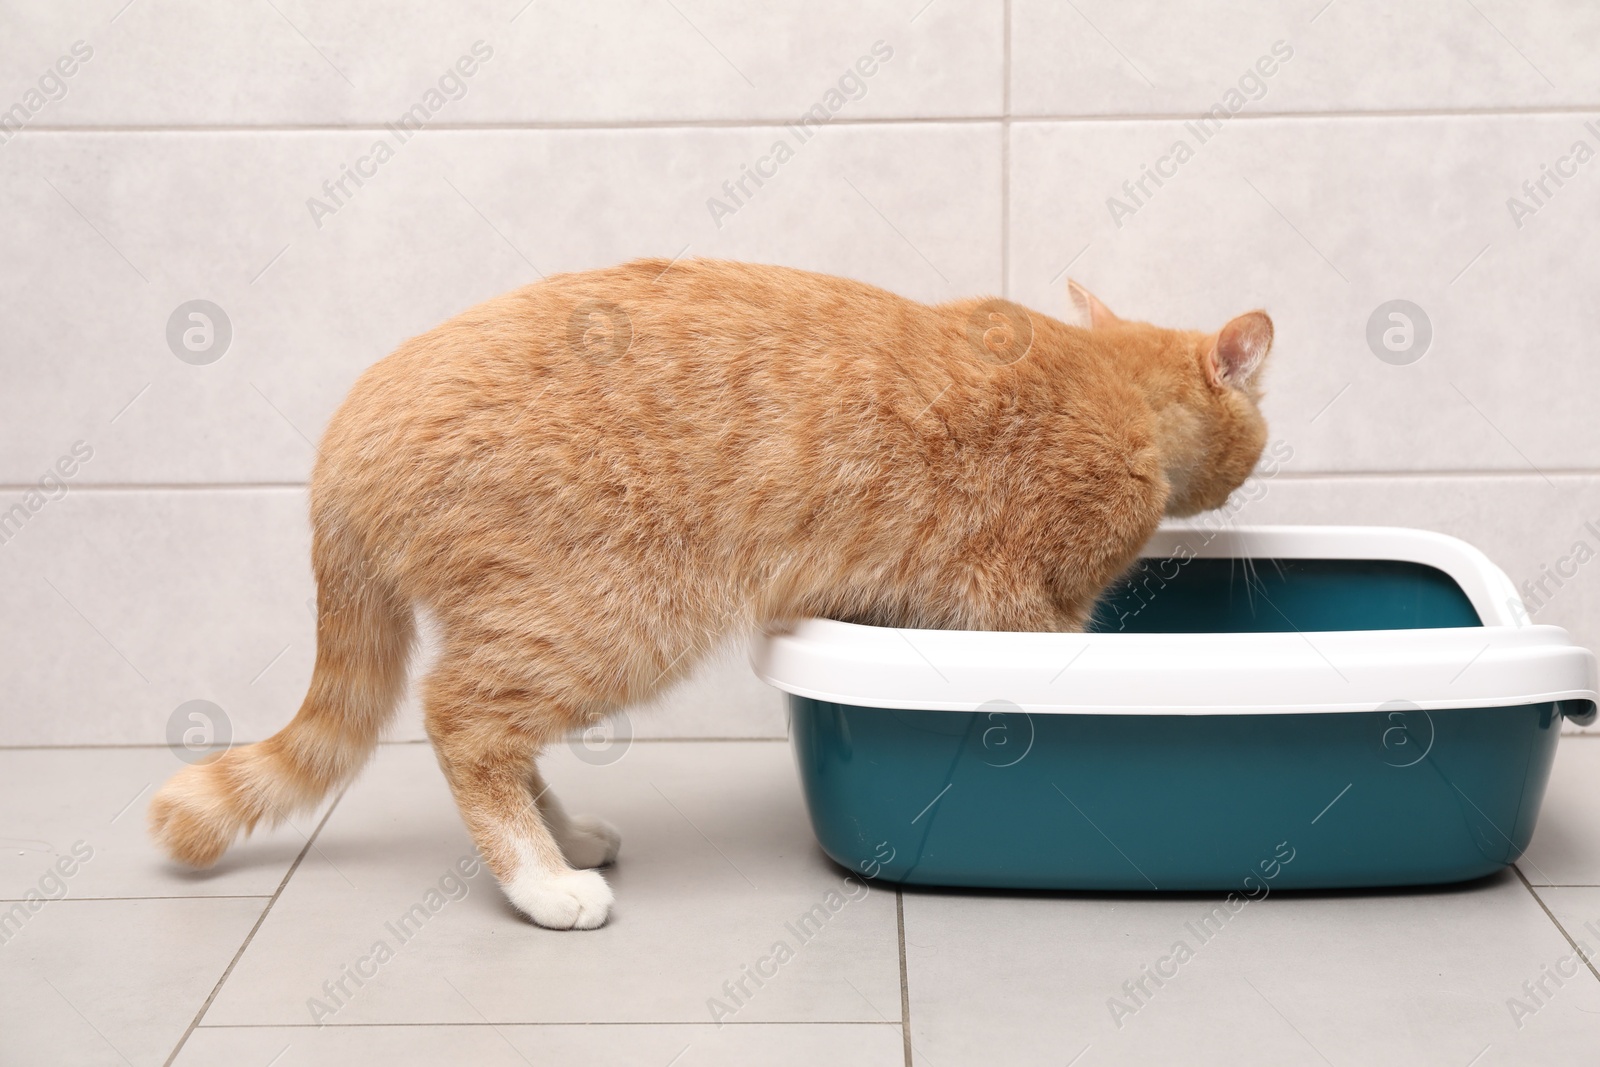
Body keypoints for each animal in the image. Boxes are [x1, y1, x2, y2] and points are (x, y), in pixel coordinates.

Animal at [150, 259, 1273, 927]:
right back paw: (543, 879)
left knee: (499, 729)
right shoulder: (1018, 599)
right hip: (607, 617)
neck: (1108, 379)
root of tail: (347, 432)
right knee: (462, 719)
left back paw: (565, 834)